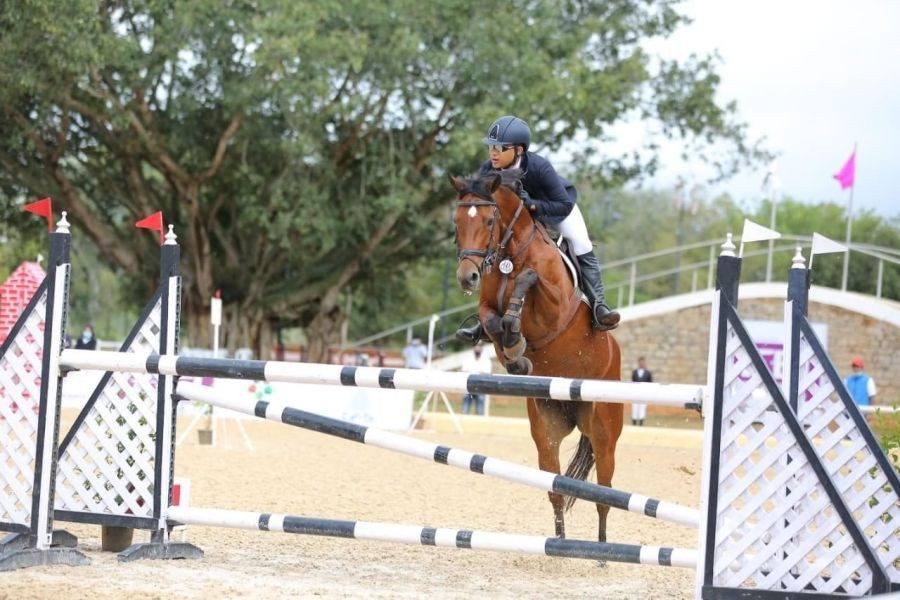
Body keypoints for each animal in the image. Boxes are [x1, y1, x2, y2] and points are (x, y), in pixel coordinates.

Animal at [448, 169, 624, 544]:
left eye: (488, 221)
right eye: (457, 222)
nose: (468, 277)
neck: (509, 253)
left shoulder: (554, 308)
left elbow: (529, 280)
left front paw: (515, 330)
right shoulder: (487, 306)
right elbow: (492, 322)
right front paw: (515, 353)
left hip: (603, 432)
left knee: (604, 496)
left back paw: (603, 551)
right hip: (546, 429)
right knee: (555, 489)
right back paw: (559, 545)